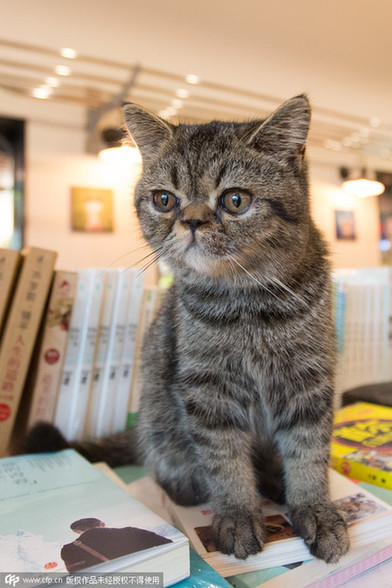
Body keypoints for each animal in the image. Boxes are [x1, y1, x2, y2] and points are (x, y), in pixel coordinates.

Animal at [27, 96, 350, 564]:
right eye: (164, 199)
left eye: (235, 199)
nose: (193, 221)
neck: (246, 303)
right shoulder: (206, 388)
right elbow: (225, 460)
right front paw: (236, 514)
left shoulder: (309, 380)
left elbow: (309, 454)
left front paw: (315, 510)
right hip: (161, 423)